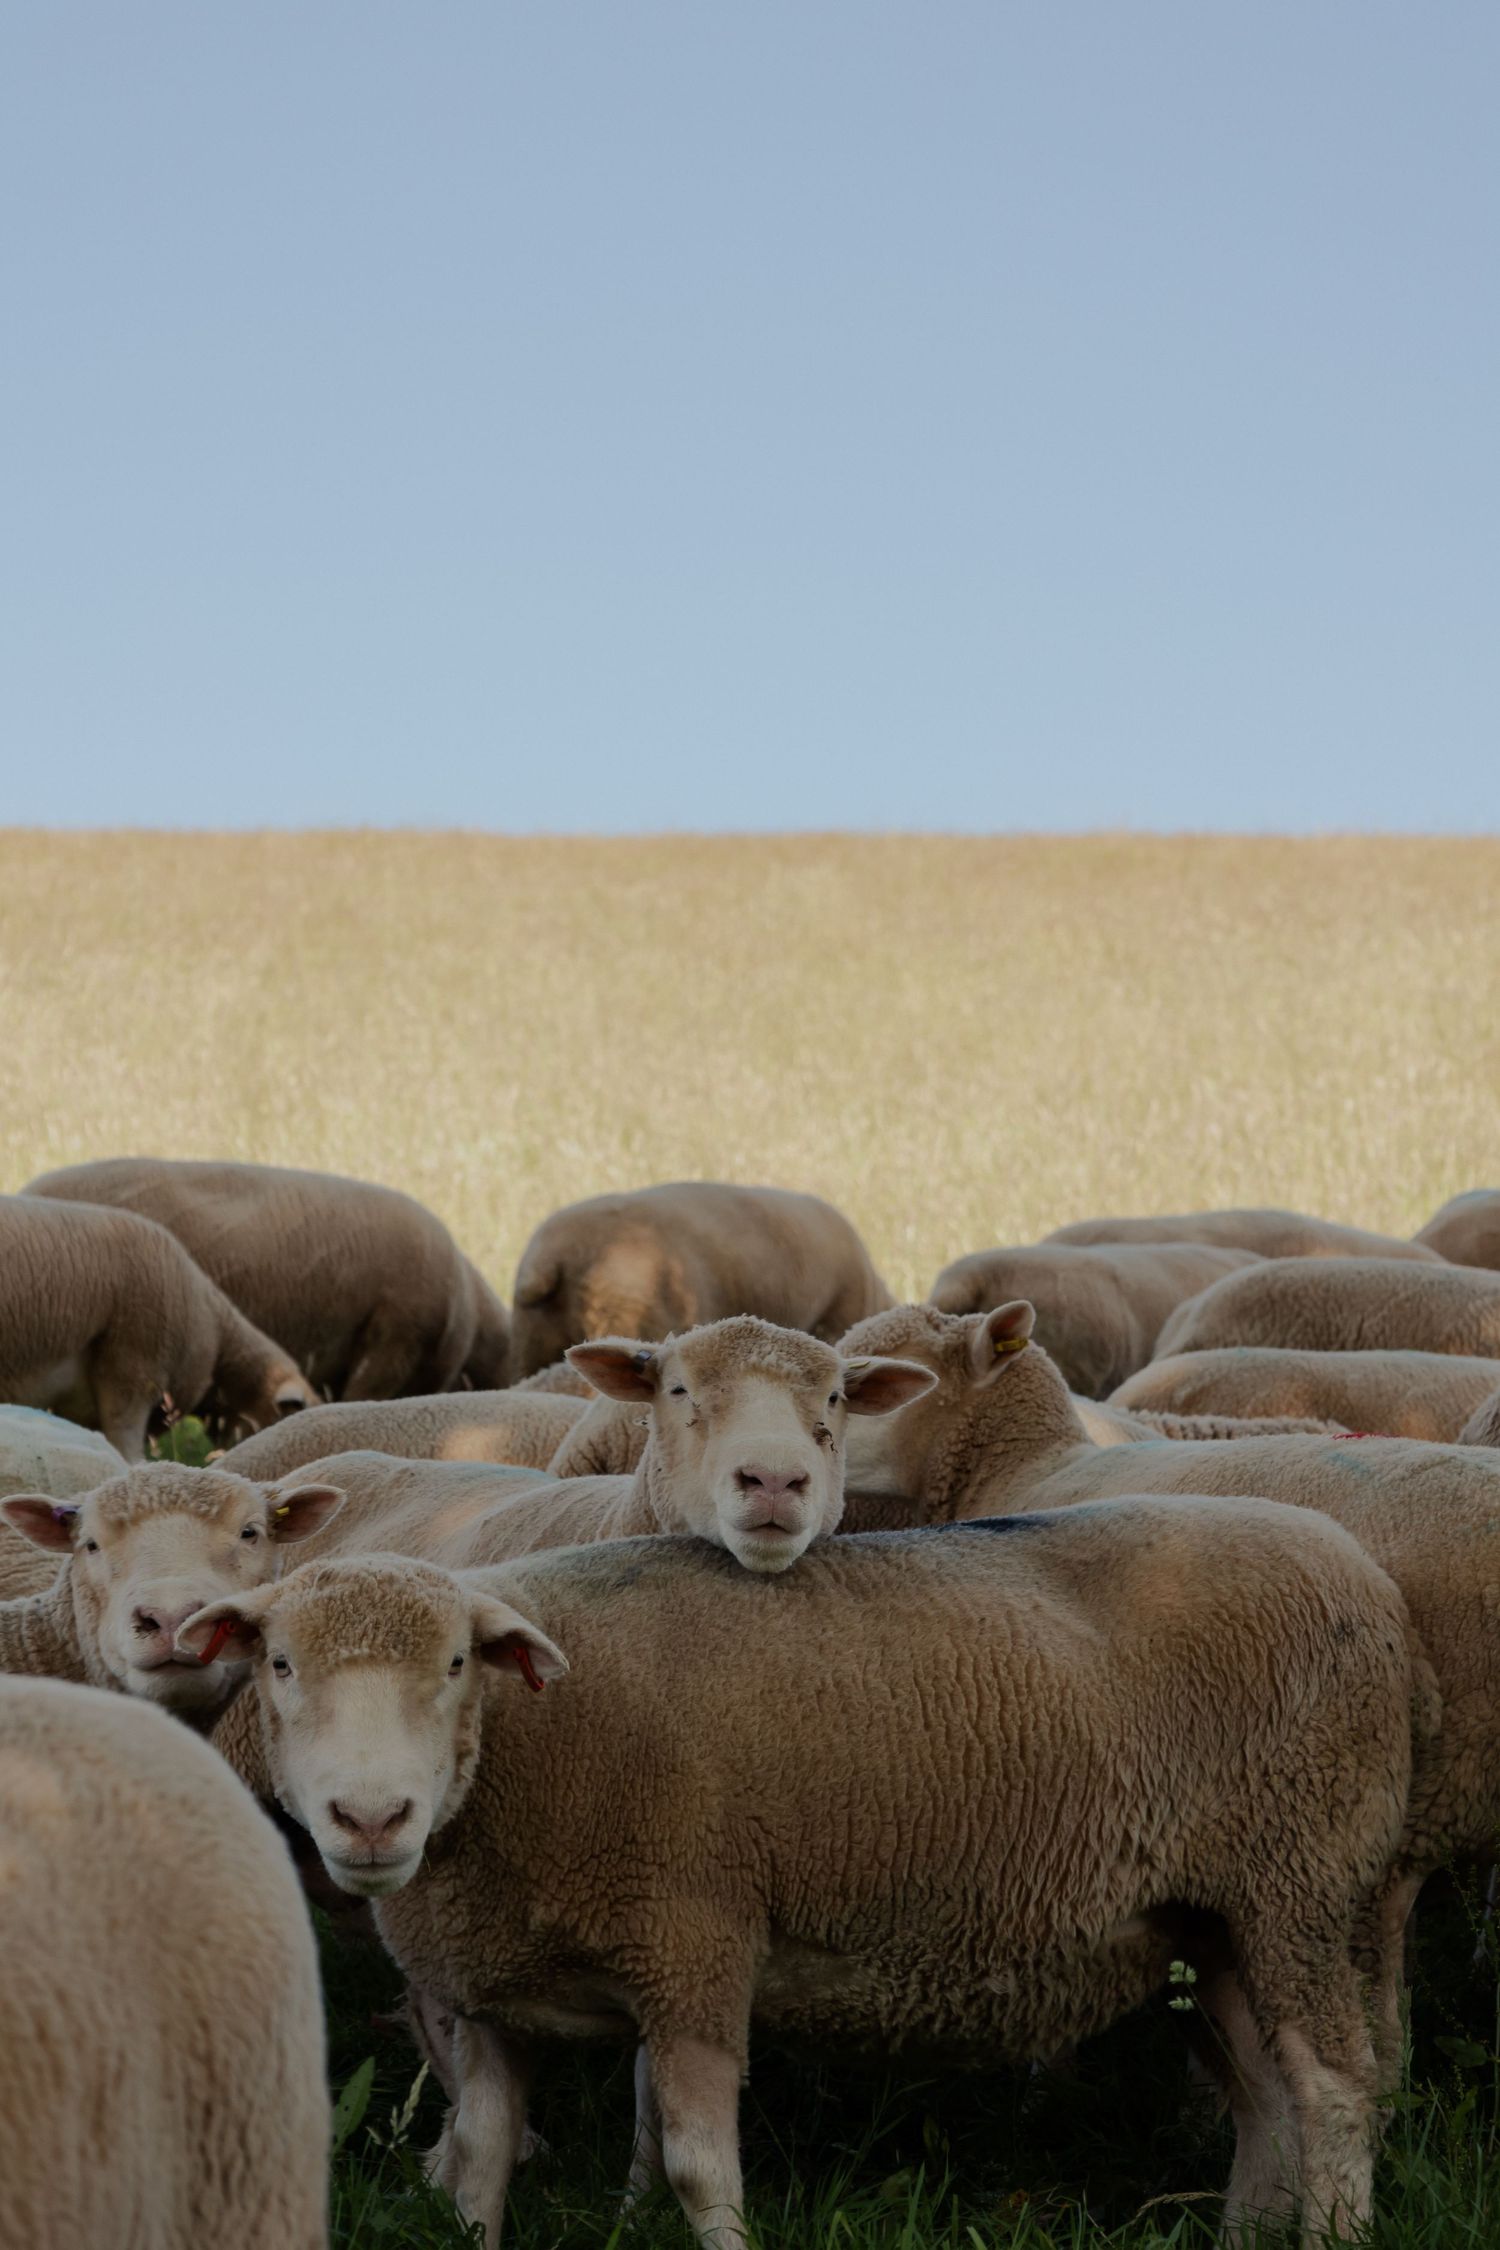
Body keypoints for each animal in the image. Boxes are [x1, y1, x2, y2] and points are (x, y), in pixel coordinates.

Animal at [188, 1519, 1418, 2250]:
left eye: (453, 1666)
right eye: (280, 1665)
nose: (371, 1820)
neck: (528, 1748)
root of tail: (1363, 1572)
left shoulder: (694, 1939)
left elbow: (696, 2169)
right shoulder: (488, 1990)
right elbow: (480, 2163)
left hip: (1301, 1881)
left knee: (1334, 2089)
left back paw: (1337, 2234)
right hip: (1217, 1919)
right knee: (1265, 2096)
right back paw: (1246, 2235)